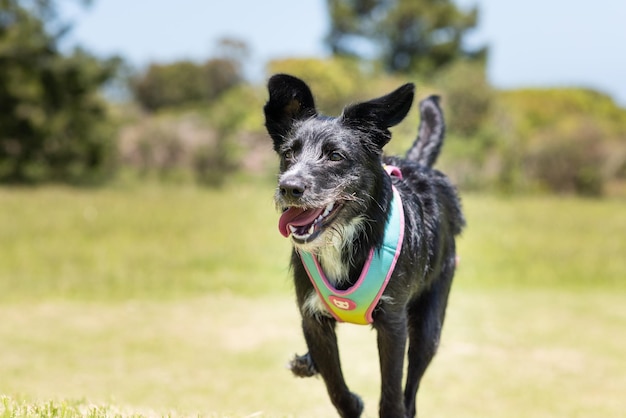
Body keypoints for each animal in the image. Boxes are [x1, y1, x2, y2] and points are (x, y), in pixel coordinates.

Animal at [262, 73, 464, 416]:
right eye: (289, 153)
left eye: (335, 155)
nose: (289, 187)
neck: (344, 236)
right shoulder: (313, 319)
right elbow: (336, 388)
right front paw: (350, 400)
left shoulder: (393, 324)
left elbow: (392, 396)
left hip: (429, 321)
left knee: (412, 388)